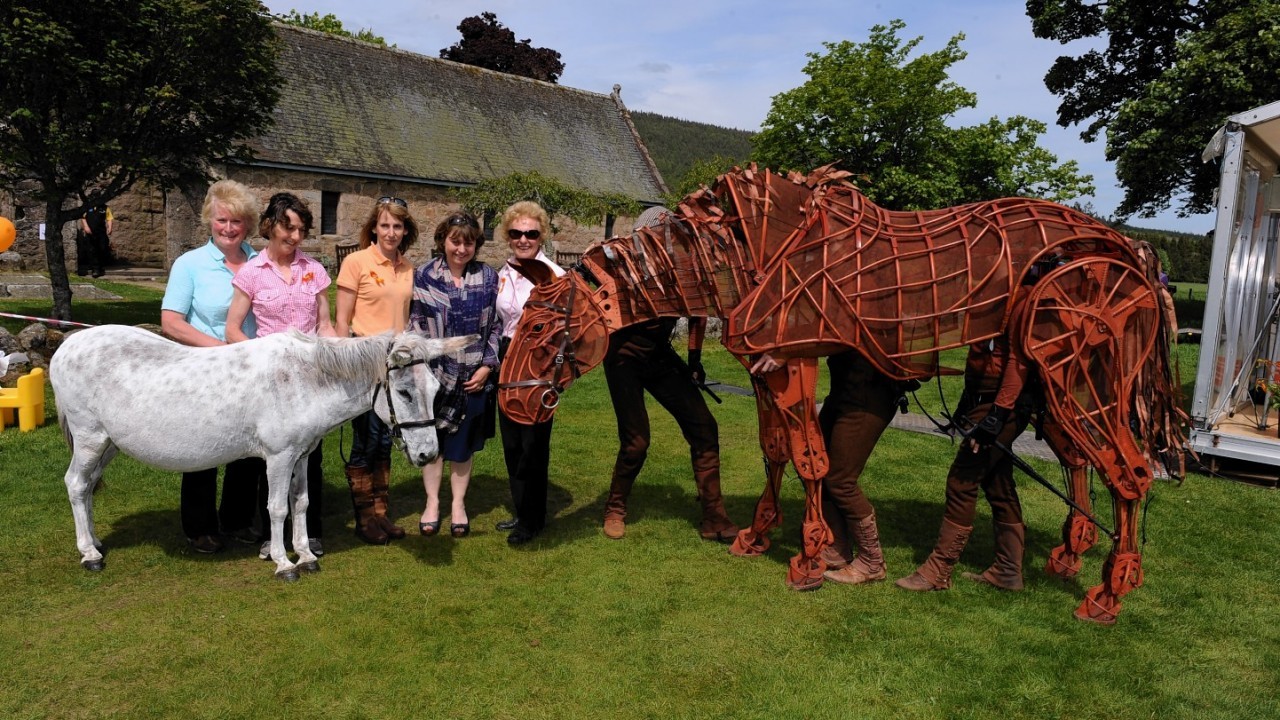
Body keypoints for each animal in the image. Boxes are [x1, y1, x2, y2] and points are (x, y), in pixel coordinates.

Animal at [52, 324, 476, 576]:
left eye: (436, 390)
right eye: (404, 393)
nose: (427, 455)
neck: (306, 379)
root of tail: (66, 345)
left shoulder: (302, 455)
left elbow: (301, 504)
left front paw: (305, 555)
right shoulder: (279, 457)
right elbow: (276, 508)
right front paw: (282, 561)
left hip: (108, 443)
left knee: (87, 489)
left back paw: (95, 541)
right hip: (90, 437)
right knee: (75, 485)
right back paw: (89, 554)